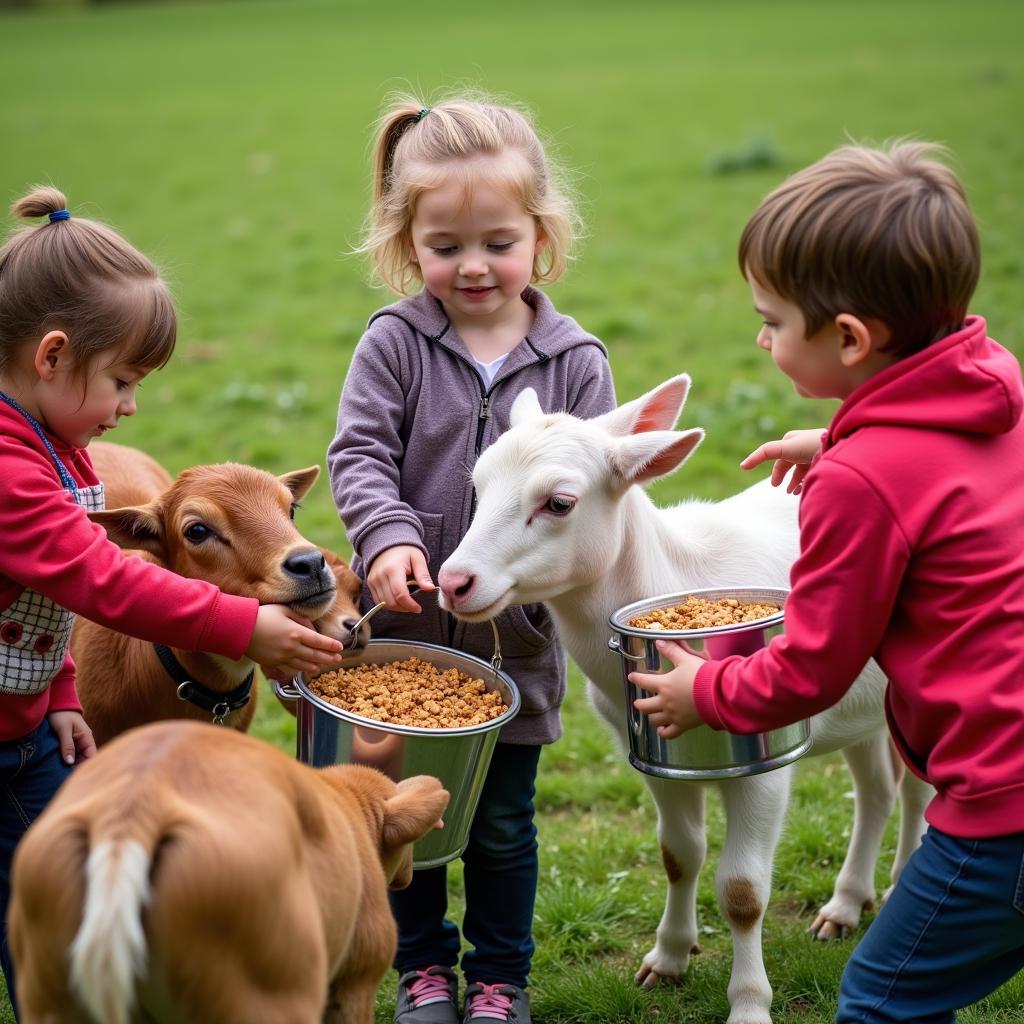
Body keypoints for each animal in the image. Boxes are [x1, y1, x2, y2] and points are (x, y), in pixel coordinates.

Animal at [8, 720, 448, 1024]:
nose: (408, 876)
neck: (347, 803)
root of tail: (134, 808)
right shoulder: (356, 980)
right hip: (271, 999)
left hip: (49, 998)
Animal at [436, 374, 933, 1024]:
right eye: (478, 483)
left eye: (560, 503)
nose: (453, 582)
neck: (673, 575)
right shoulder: (645, 751)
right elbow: (678, 853)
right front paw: (668, 958)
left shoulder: (768, 760)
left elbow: (744, 890)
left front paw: (748, 1005)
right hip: (857, 707)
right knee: (876, 788)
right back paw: (845, 905)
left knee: (918, 788)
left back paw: (899, 883)